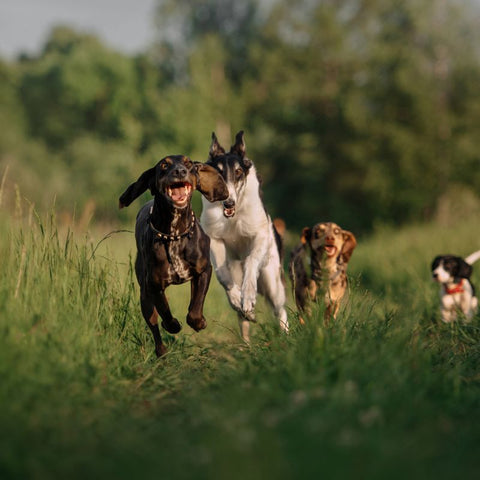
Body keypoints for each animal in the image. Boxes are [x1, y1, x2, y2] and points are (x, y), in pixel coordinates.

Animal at [118, 155, 227, 356]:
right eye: (164, 165)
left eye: (188, 163)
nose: (179, 171)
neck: (174, 234)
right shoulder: (153, 285)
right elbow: (165, 311)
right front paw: (173, 325)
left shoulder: (204, 271)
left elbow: (195, 308)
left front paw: (199, 322)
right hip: (144, 296)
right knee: (153, 324)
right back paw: (161, 351)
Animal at [200, 131, 288, 342]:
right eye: (219, 174)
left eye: (238, 172)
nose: (228, 202)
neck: (234, 215)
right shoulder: (214, 238)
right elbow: (223, 275)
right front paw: (236, 299)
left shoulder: (260, 234)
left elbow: (251, 261)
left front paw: (248, 297)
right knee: (243, 320)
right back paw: (246, 337)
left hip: (272, 279)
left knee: (280, 309)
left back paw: (286, 335)